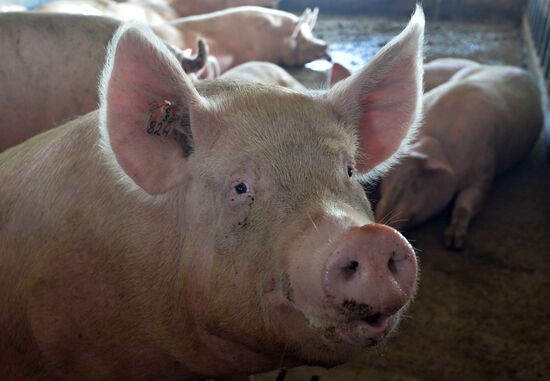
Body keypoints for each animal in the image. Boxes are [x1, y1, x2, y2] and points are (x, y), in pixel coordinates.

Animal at [378, 63, 544, 249]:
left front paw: (453, 243)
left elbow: (466, 204)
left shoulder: (483, 174)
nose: (380, 225)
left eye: (417, 179)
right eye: (386, 176)